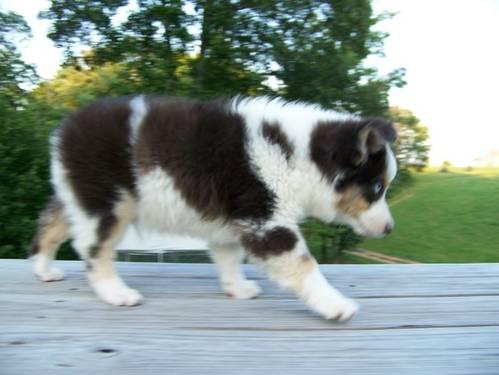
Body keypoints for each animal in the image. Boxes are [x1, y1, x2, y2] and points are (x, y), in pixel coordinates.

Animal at [31, 95, 398, 322]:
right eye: (376, 189)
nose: (390, 229)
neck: (301, 154)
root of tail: (62, 130)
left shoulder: (235, 222)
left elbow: (229, 257)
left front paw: (237, 288)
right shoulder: (267, 220)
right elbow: (305, 266)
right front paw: (336, 305)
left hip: (77, 194)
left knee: (51, 224)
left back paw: (44, 270)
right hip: (108, 202)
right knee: (93, 248)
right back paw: (116, 293)